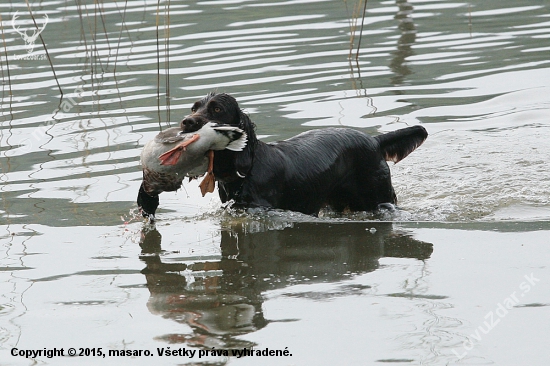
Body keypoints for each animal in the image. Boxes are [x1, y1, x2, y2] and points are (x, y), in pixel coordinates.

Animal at [179, 91, 430, 216]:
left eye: (217, 109)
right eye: (194, 108)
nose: (186, 122)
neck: (246, 169)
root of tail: (374, 140)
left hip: (378, 196)